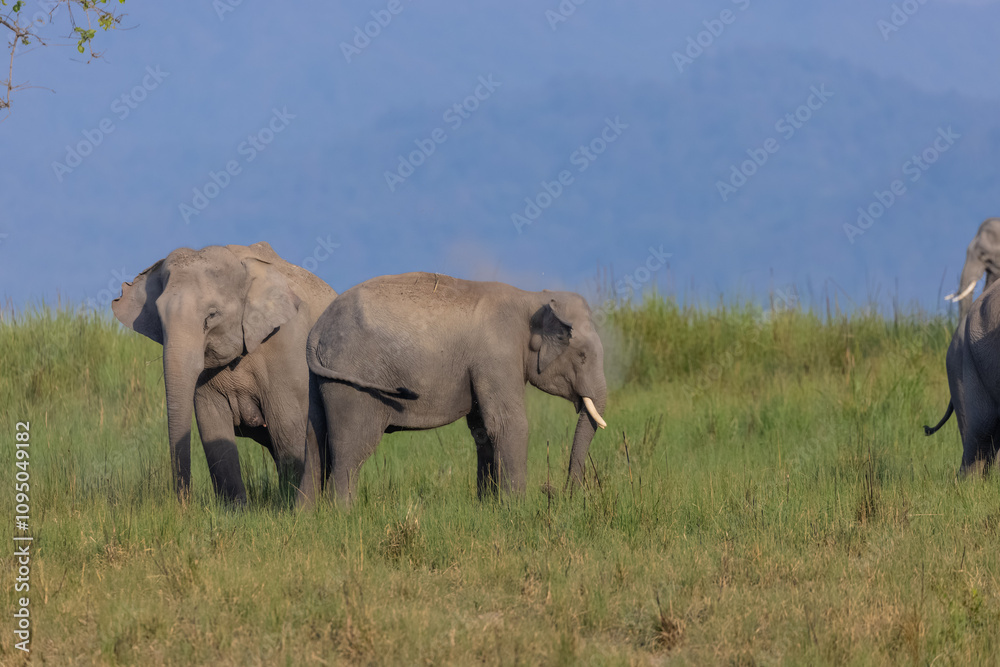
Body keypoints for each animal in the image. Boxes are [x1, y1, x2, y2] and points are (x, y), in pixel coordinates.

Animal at [112, 242, 337, 504]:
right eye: (159, 317)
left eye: (212, 315)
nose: (184, 504)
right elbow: (213, 430)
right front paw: (236, 509)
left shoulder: (287, 346)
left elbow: (287, 429)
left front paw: (287, 504)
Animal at [304, 272, 608, 506]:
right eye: (582, 355)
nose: (563, 495)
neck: (531, 298)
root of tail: (317, 331)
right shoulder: (497, 355)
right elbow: (508, 424)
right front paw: (517, 509)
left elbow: (483, 429)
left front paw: (488, 507)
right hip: (351, 382)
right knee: (353, 448)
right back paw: (342, 514)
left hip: (320, 379)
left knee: (314, 439)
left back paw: (308, 516)